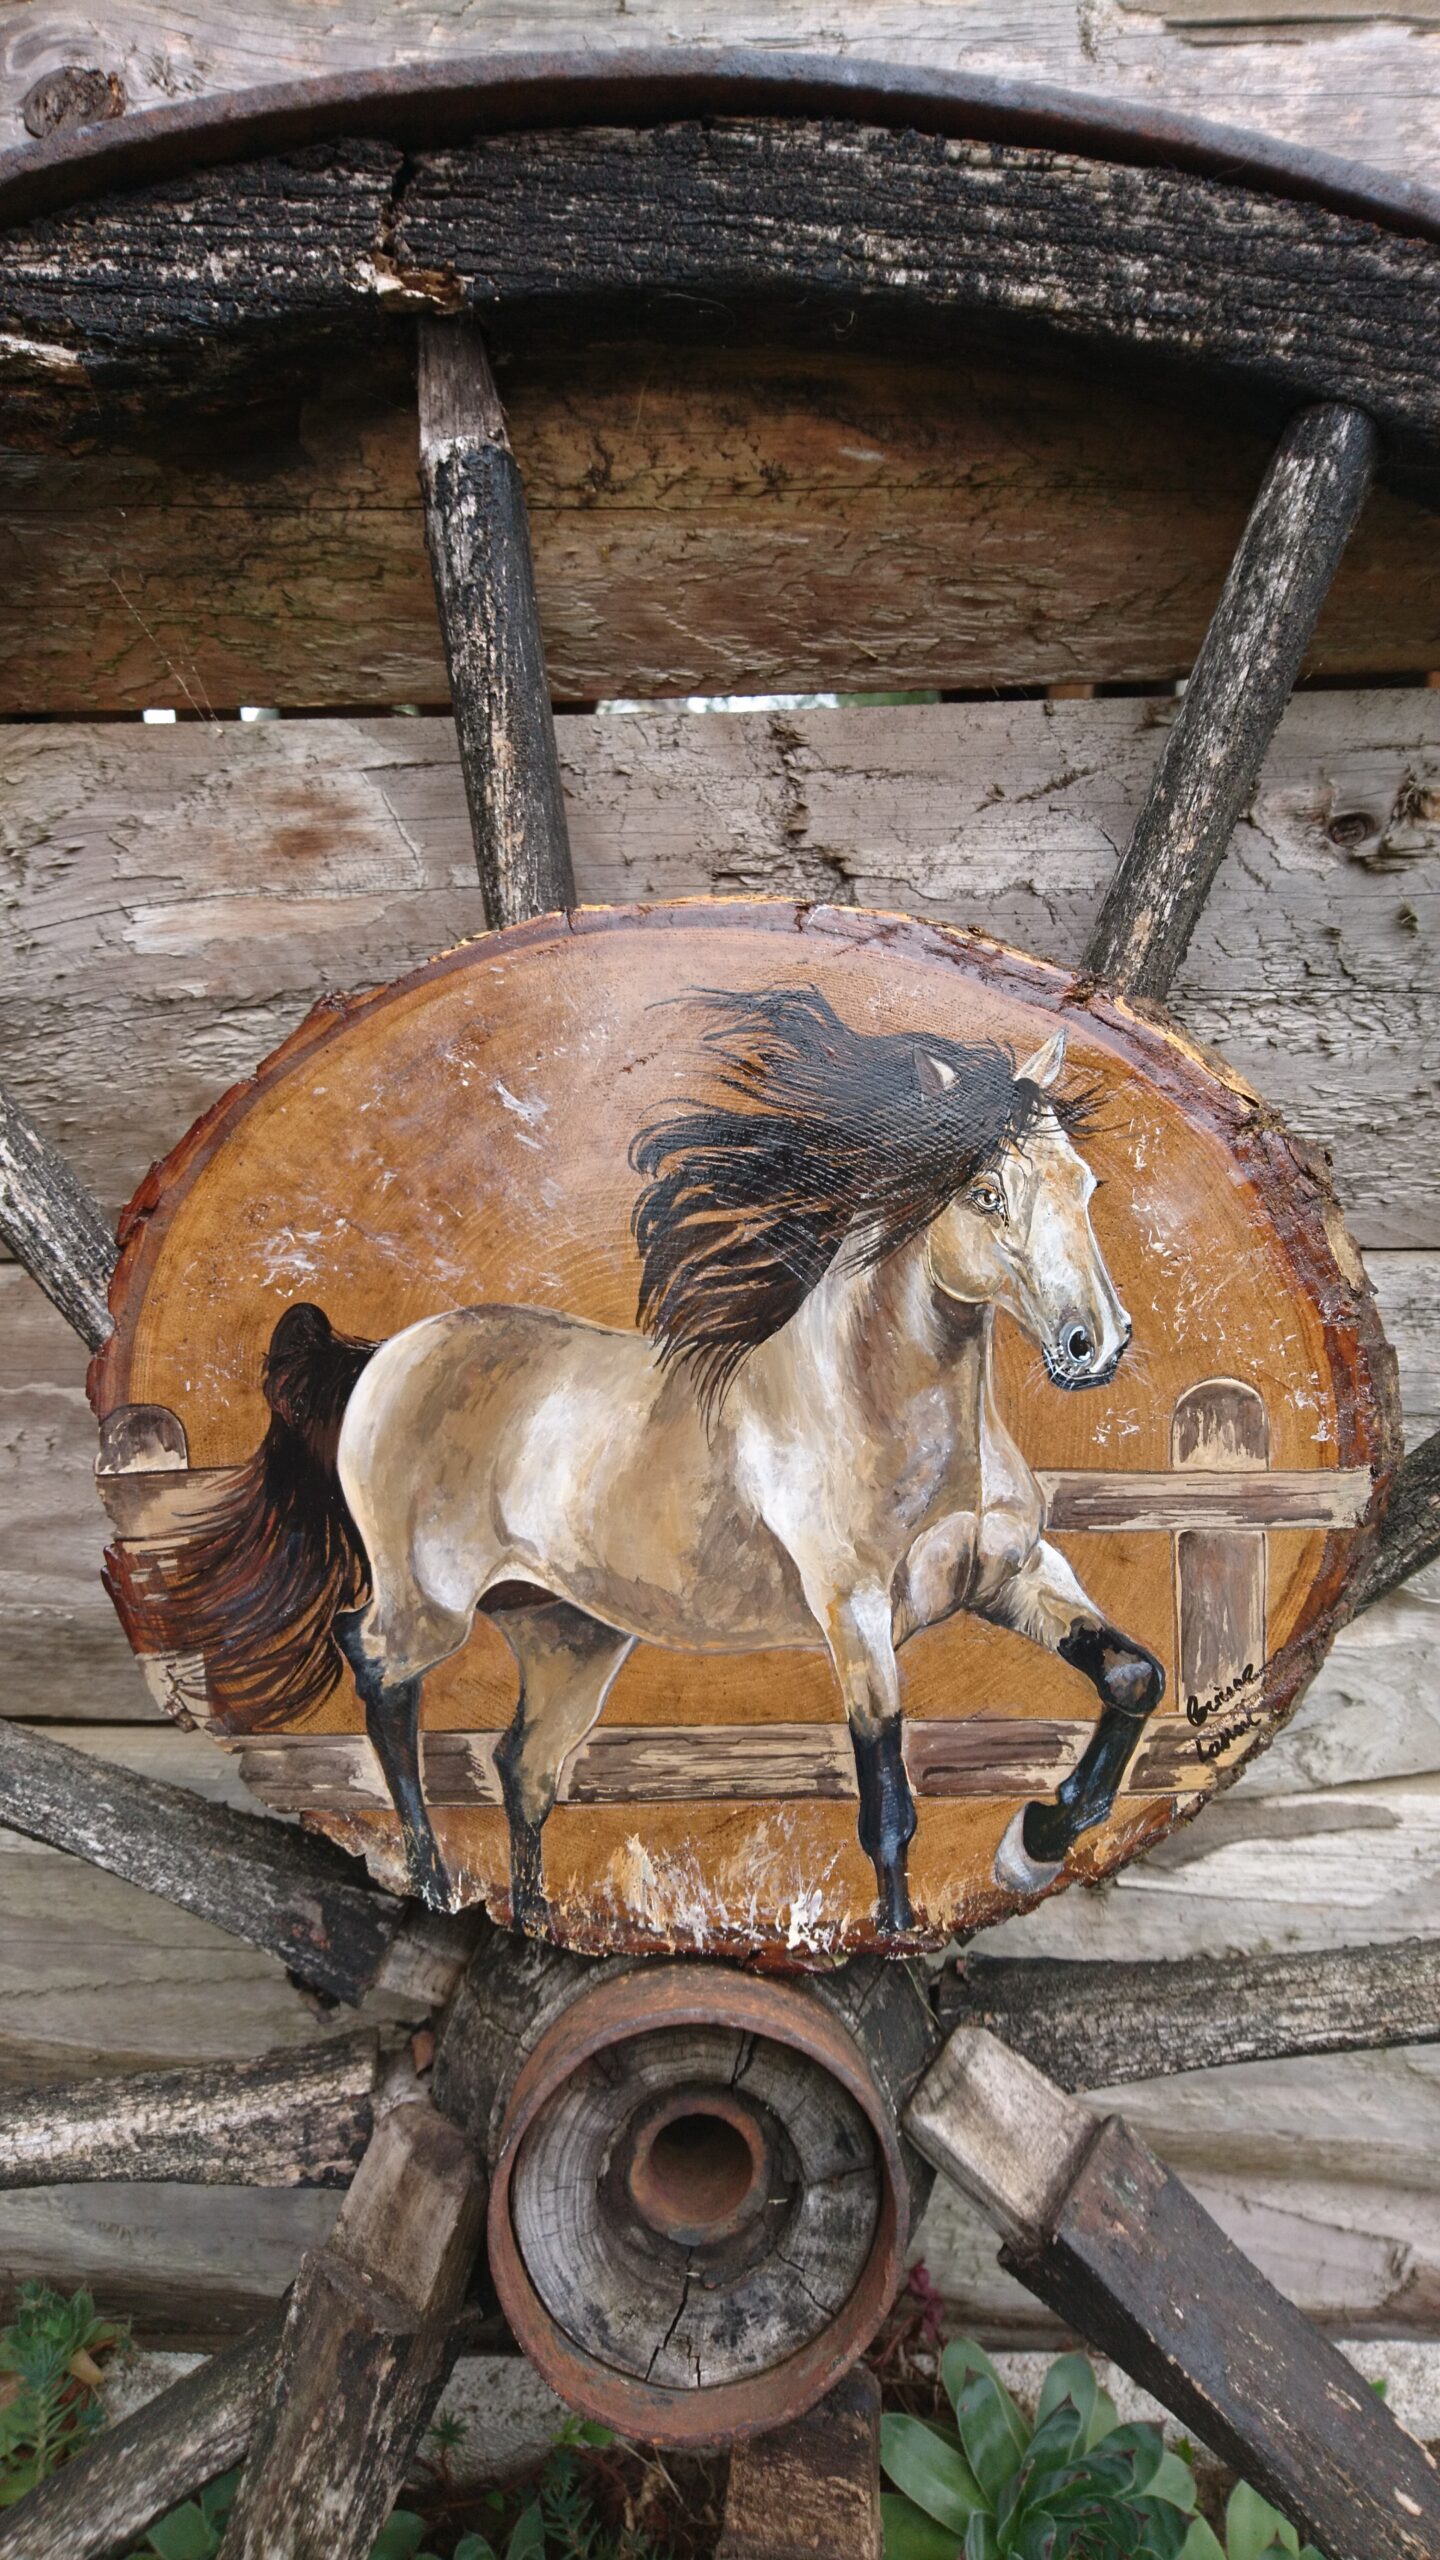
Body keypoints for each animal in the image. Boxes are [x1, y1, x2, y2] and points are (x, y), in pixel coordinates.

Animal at [153, 984, 1163, 1934]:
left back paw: (531, 1915)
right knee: (372, 1665)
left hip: (567, 1634)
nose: (1094, 1344)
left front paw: (1037, 1840)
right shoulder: (855, 1614)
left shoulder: (1015, 1573)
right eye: (985, 1194)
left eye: (1086, 1185)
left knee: (522, 1766)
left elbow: (1134, 1675)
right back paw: (434, 1880)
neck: (880, 1411)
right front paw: (912, 1920)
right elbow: (887, 1812)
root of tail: (385, 1355)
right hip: (430, 1602)